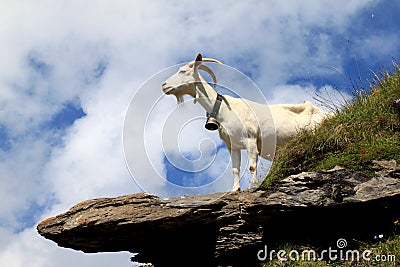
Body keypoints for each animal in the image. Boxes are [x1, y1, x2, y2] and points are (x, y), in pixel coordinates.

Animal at [161, 54, 326, 193]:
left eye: (183, 71)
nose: (164, 85)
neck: (225, 109)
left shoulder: (251, 140)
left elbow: (252, 166)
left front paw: (253, 187)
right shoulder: (233, 145)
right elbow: (235, 169)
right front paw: (234, 190)